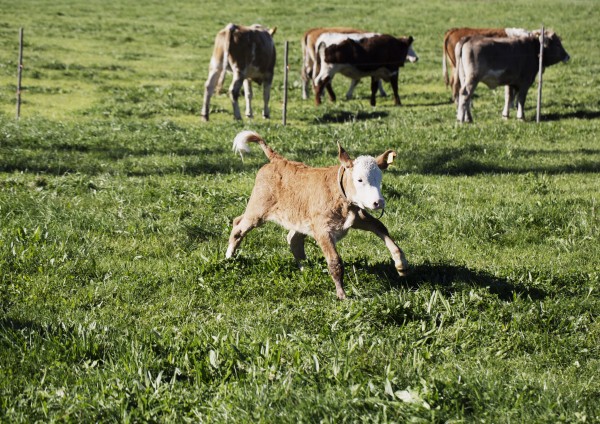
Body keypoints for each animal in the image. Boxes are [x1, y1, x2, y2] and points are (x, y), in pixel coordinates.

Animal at [227, 131, 410, 300]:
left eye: (379, 179)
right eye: (359, 180)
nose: (378, 202)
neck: (341, 198)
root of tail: (278, 160)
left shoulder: (359, 217)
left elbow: (381, 227)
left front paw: (401, 264)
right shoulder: (323, 229)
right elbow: (335, 261)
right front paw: (342, 295)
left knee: (292, 239)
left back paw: (305, 268)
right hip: (258, 209)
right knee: (238, 226)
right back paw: (229, 258)